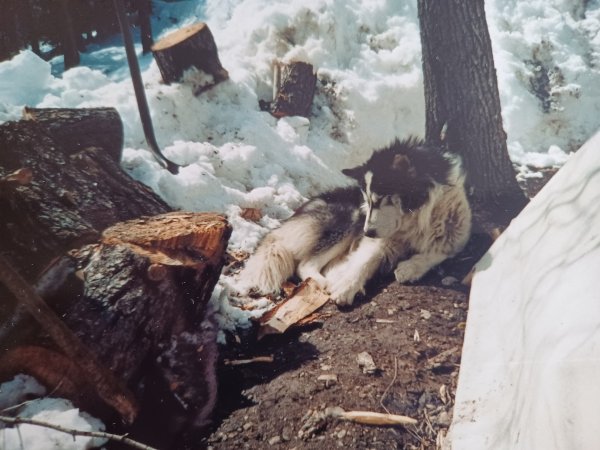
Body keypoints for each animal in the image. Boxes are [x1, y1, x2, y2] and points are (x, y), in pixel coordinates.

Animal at [237, 137, 472, 306]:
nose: (366, 232)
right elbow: (364, 262)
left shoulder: (456, 235)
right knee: (305, 265)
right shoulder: (377, 240)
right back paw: (324, 282)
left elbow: (439, 251)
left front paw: (411, 267)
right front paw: (346, 287)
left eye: (381, 199)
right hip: (347, 220)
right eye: (367, 200)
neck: (415, 218)